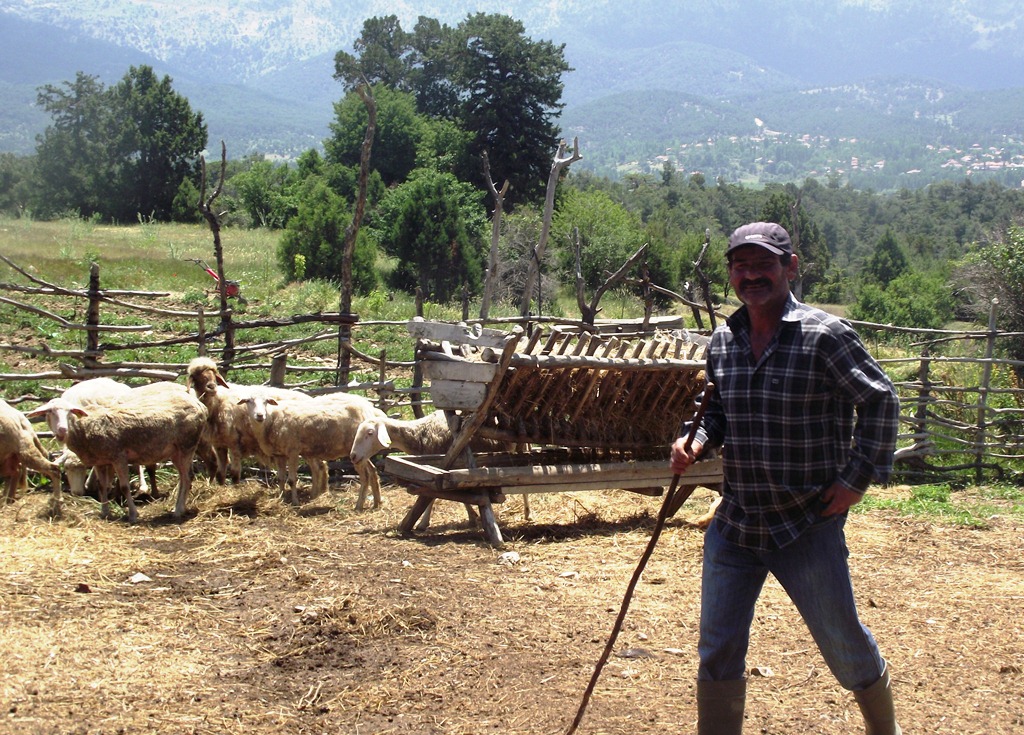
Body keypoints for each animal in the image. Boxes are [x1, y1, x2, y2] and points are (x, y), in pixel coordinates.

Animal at [29, 388, 207, 522]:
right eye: (49, 412)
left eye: (70, 412)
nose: (62, 430)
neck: (84, 429)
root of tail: (199, 404)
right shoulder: (100, 461)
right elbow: (102, 486)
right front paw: (104, 511)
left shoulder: (118, 456)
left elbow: (124, 486)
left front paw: (133, 514)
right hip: (176, 451)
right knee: (185, 477)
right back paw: (179, 507)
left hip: (186, 445)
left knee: (187, 477)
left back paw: (178, 510)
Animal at [237, 395, 385, 509]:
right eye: (249, 401)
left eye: (266, 401)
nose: (260, 415)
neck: (272, 420)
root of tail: (370, 409)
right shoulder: (280, 454)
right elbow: (281, 478)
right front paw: (280, 498)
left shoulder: (293, 451)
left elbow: (292, 480)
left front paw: (295, 502)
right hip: (362, 452)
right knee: (372, 471)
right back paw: (377, 502)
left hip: (356, 450)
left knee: (365, 475)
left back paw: (359, 505)